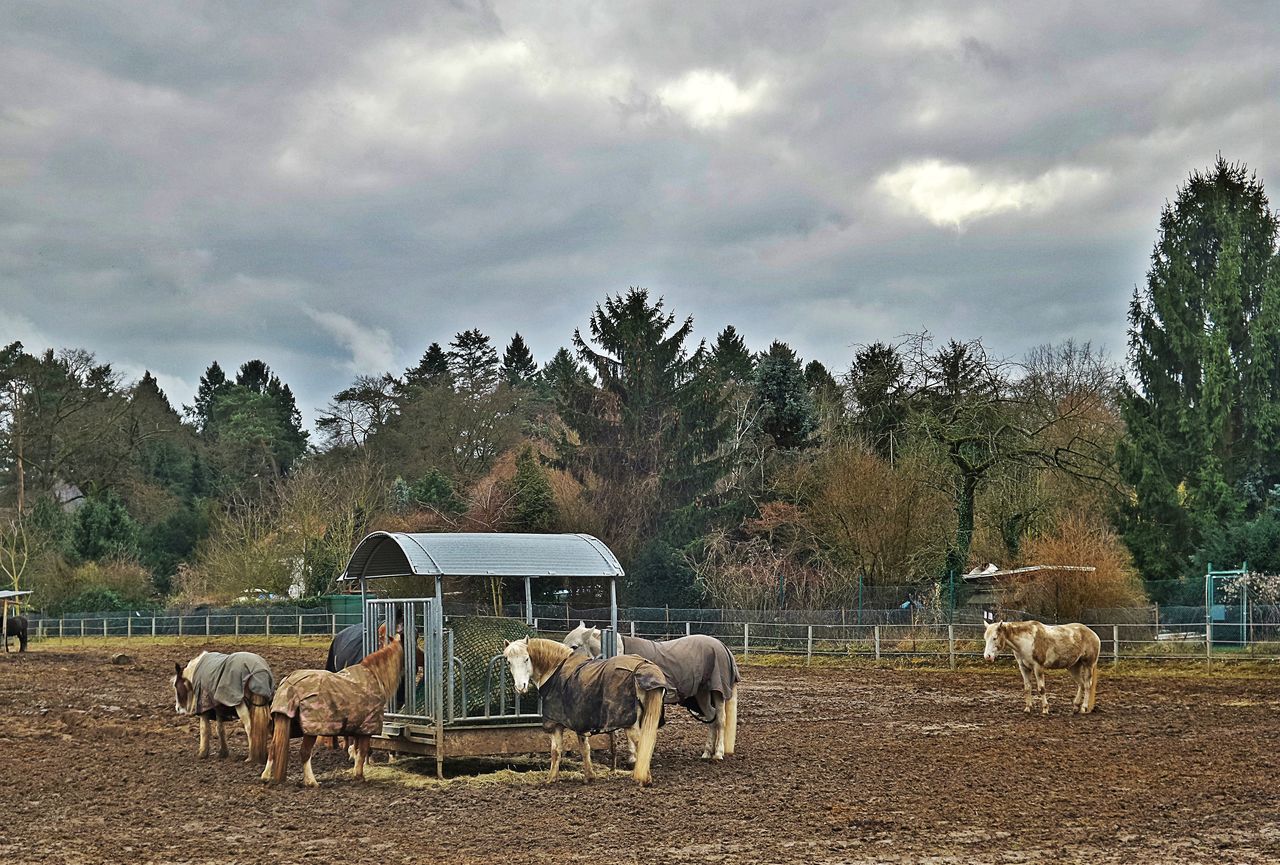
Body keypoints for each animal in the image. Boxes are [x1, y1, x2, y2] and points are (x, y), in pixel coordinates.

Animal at [268, 632, 404, 788]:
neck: (374, 675)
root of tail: (288, 685)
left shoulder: (357, 727)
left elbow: (357, 749)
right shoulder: (367, 727)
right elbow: (363, 750)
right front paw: (359, 775)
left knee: (273, 747)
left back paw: (266, 776)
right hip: (311, 730)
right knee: (304, 753)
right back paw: (312, 781)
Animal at [499, 632, 665, 788]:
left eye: (527, 659)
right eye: (508, 661)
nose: (520, 687)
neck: (555, 670)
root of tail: (642, 667)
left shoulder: (555, 724)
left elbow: (556, 751)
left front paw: (551, 779)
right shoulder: (580, 721)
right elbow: (585, 748)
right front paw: (589, 777)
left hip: (630, 724)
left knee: (641, 744)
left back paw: (644, 779)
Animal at [563, 619, 742, 762]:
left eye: (575, 646)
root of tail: (723, 647)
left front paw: (635, 757)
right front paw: (634, 756)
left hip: (717, 692)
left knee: (720, 720)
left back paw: (718, 754)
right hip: (702, 694)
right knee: (711, 718)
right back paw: (707, 753)